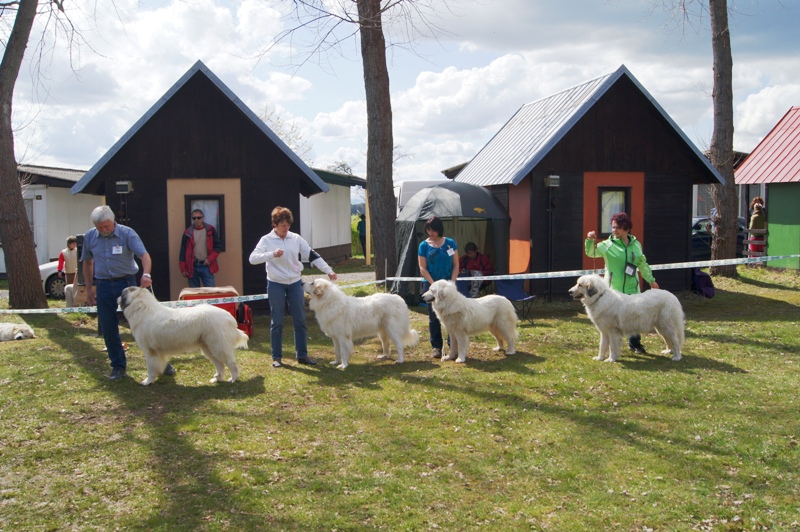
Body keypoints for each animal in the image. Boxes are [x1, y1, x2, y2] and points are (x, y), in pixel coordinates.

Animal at [119, 286, 247, 386]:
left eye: (121, 294)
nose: (117, 298)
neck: (142, 308)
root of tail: (228, 316)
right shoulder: (158, 352)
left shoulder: (150, 351)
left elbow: (151, 368)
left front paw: (147, 381)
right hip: (208, 348)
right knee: (220, 364)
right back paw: (217, 379)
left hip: (218, 347)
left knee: (231, 363)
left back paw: (233, 378)